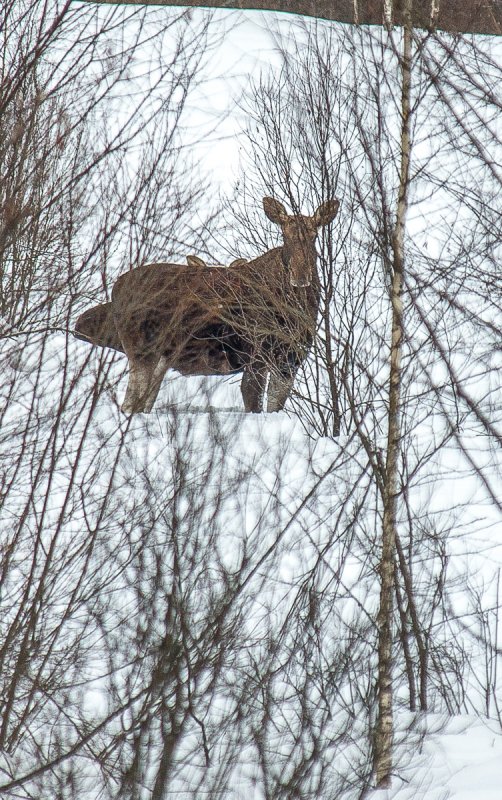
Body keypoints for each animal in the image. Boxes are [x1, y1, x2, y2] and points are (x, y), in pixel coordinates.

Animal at [74, 197, 340, 416]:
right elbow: (252, 401)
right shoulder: (257, 356)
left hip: (160, 357)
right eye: (284, 235)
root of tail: (116, 288)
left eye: (315, 235)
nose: (300, 276)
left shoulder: (291, 361)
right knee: (129, 405)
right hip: (142, 351)